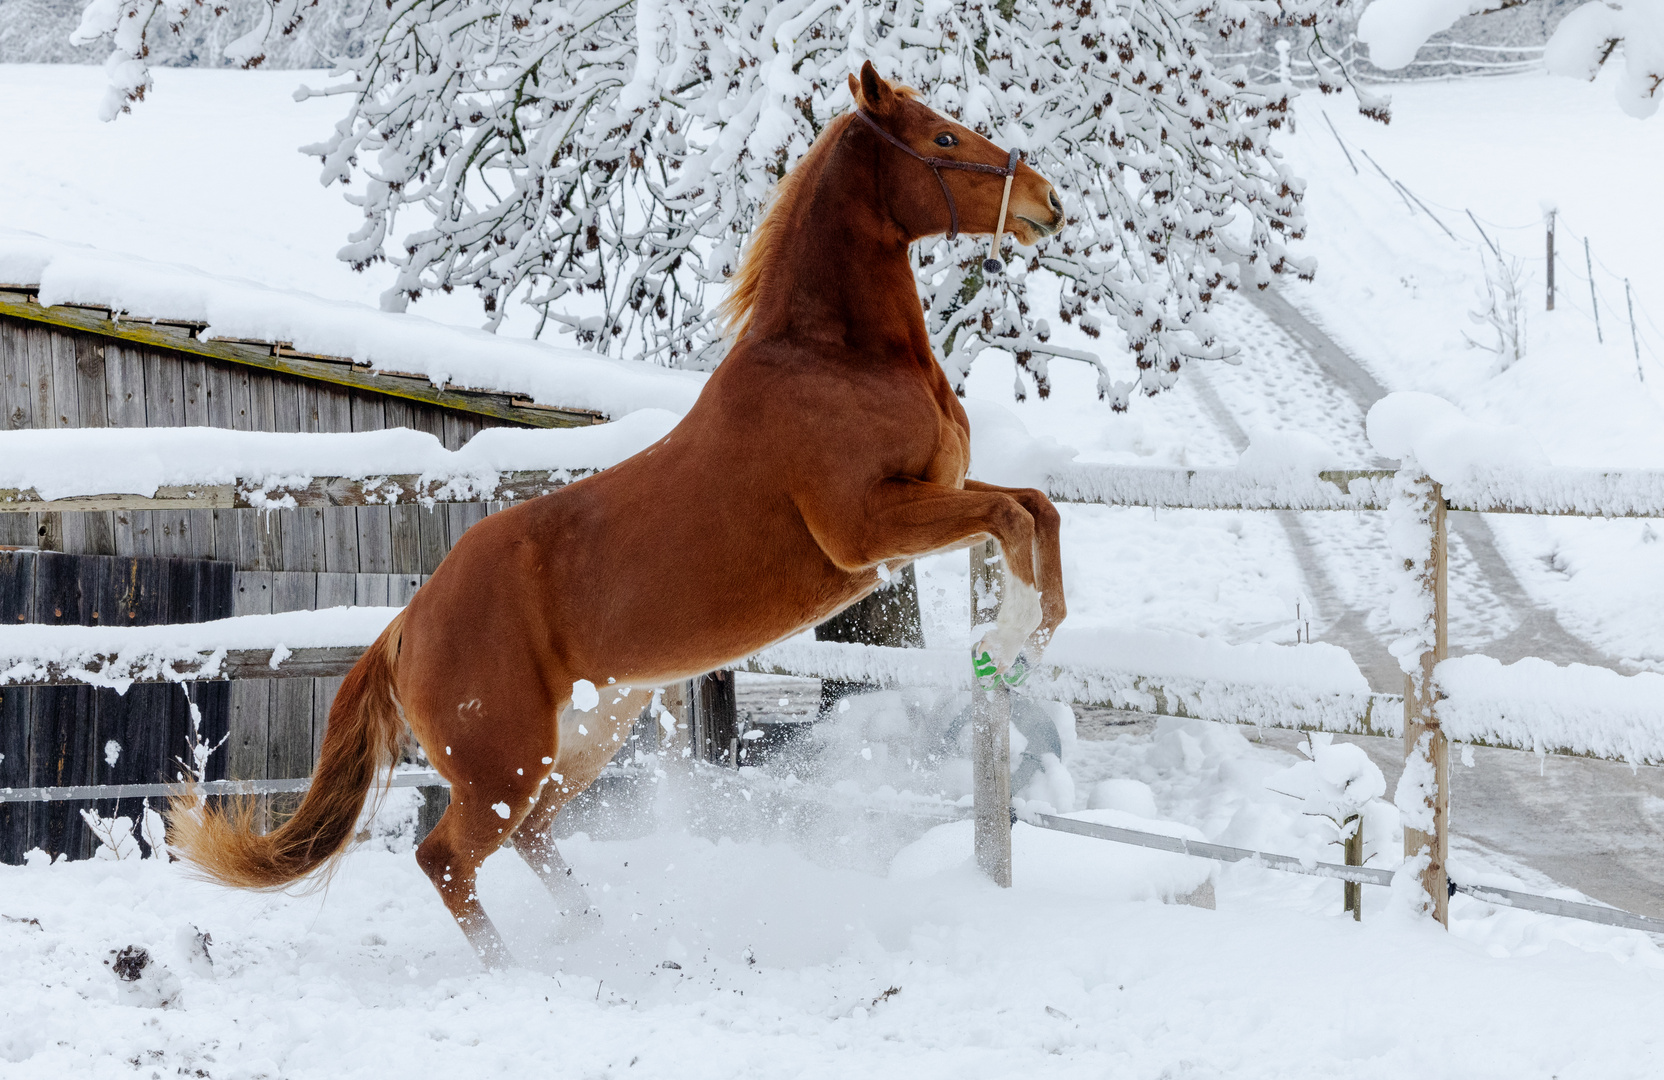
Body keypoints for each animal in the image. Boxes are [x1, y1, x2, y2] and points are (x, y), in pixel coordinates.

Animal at [172, 63, 1064, 965]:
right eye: (944, 138)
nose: (1047, 201)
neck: (836, 360)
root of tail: (402, 630)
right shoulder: (866, 531)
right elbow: (1010, 514)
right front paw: (1006, 643)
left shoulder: (925, 504)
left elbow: (1035, 508)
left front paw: (1034, 636)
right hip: (505, 765)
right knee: (448, 857)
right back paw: (516, 972)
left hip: (585, 739)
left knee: (533, 835)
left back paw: (599, 938)